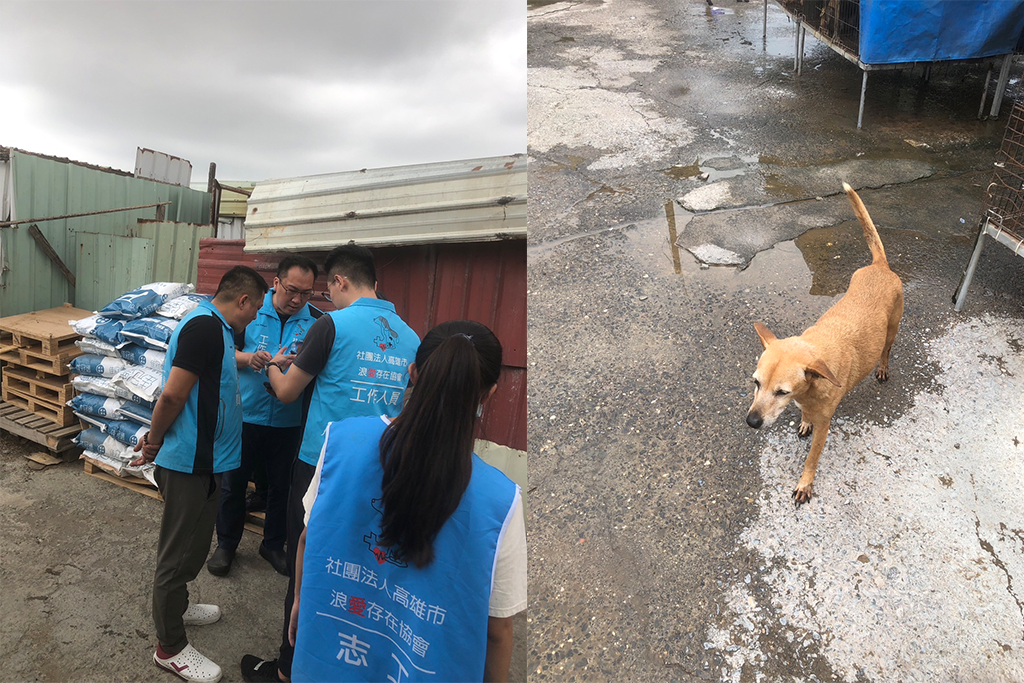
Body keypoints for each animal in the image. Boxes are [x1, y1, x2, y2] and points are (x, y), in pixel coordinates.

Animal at [745, 184, 905, 505]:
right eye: (756, 383)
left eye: (781, 392)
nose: (752, 422)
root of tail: (879, 265)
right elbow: (805, 415)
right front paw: (804, 420)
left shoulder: (825, 426)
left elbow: (812, 459)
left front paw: (805, 484)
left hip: (892, 330)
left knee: (886, 350)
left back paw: (883, 367)